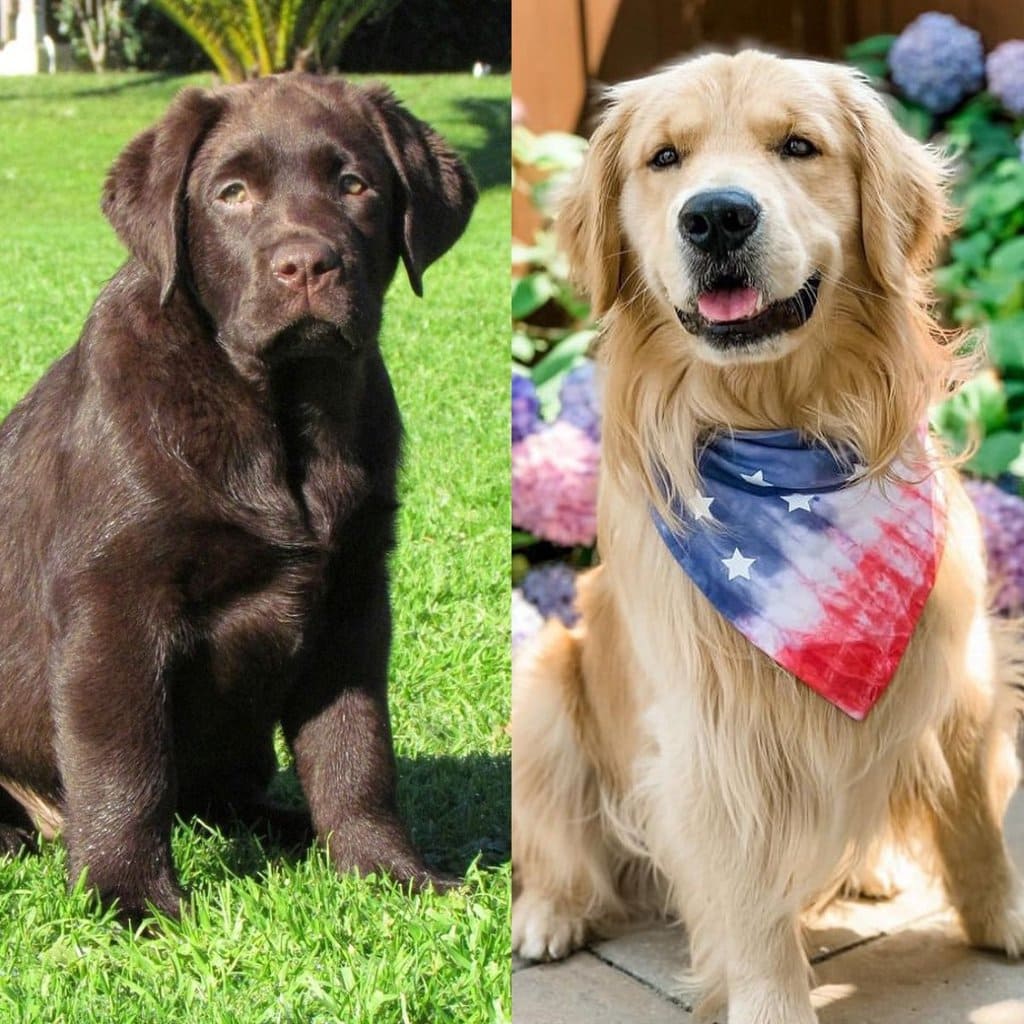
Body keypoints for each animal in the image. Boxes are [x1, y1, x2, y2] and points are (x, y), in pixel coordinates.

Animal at [512, 49, 1024, 1024]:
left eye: (798, 146)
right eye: (664, 158)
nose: (717, 216)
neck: (784, 427)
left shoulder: (963, 676)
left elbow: (976, 824)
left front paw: (1003, 919)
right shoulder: (715, 734)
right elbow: (750, 909)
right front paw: (773, 1003)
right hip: (545, 677)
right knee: (559, 839)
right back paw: (548, 913)